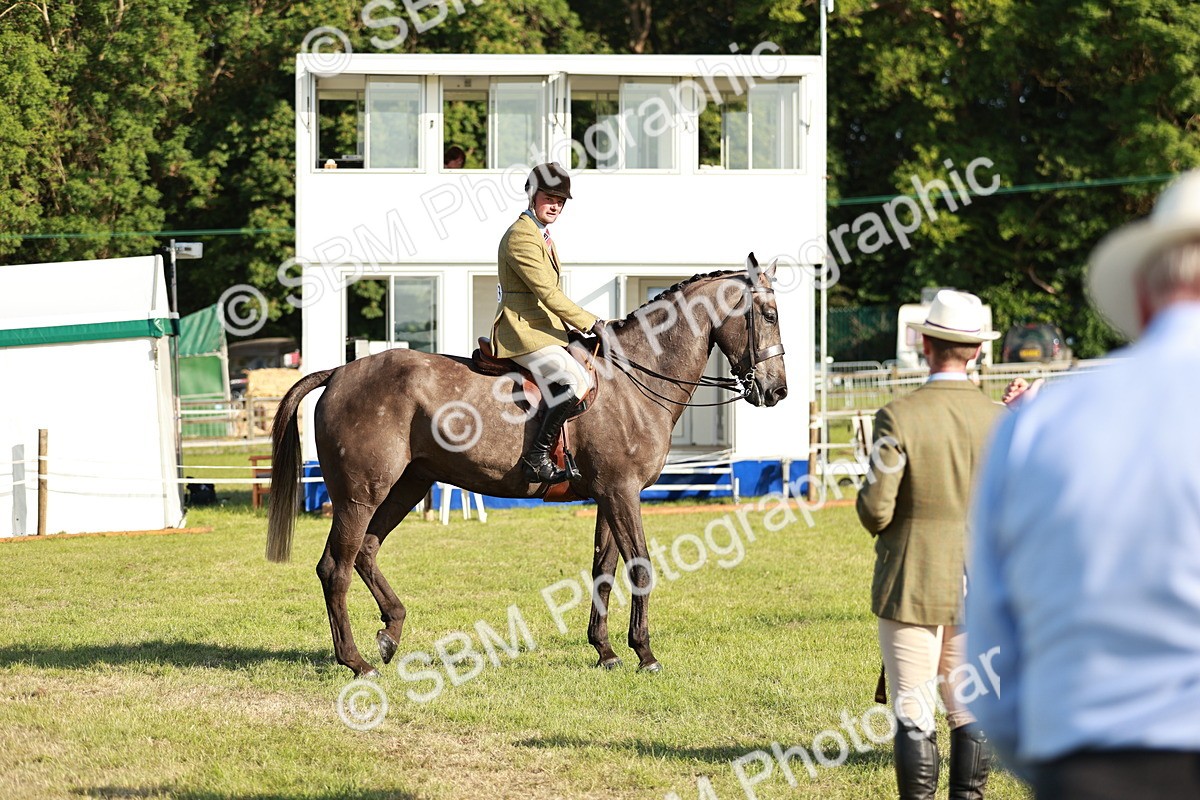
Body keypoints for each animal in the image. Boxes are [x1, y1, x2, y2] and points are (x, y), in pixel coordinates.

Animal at [266, 255, 788, 677]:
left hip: (408, 485)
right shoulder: (622, 491)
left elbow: (603, 568)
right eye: (768, 314)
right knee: (336, 567)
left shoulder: (609, 494)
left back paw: (390, 634)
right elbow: (639, 566)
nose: (776, 390)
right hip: (360, 494)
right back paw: (355, 662)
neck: (634, 378)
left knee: (367, 552)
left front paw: (605, 651)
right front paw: (645, 654)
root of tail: (339, 372)